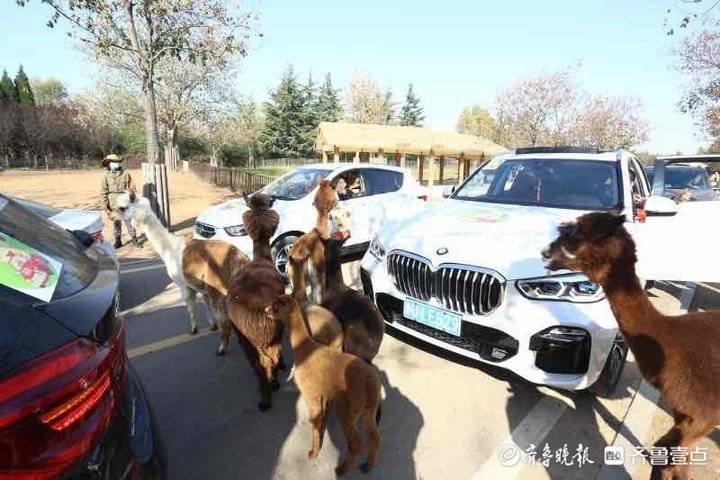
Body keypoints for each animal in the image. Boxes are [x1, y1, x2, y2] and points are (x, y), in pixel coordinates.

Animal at [226, 193, 286, 410]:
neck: (261, 258)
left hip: (249, 338)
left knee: (259, 365)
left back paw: (265, 396)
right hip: (269, 334)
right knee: (269, 361)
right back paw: (270, 391)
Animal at [266, 294, 382, 474]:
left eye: (276, 307)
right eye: (272, 303)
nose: (266, 311)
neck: (305, 349)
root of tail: (370, 383)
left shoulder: (310, 393)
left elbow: (314, 421)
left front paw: (313, 452)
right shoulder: (322, 393)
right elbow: (320, 419)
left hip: (348, 406)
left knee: (356, 443)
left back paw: (341, 469)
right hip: (368, 409)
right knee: (374, 436)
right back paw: (368, 466)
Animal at [544, 214, 720, 480]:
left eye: (576, 235)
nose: (546, 252)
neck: (673, 345)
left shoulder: (704, 416)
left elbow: (671, 459)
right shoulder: (685, 414)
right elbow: (669, 456)